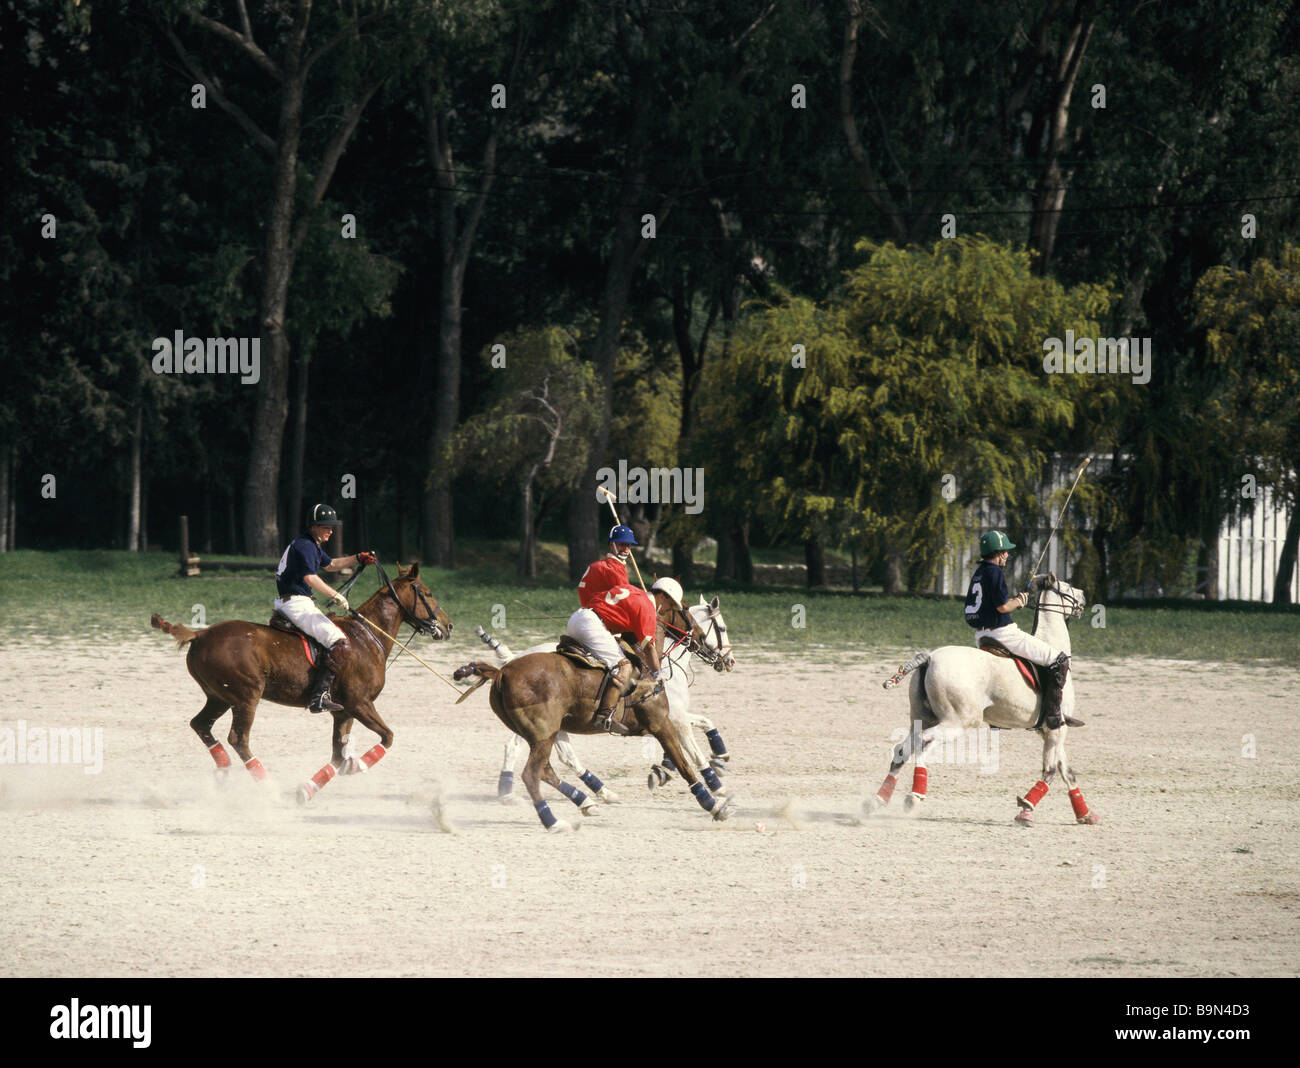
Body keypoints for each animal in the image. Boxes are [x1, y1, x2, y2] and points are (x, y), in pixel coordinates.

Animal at [148, 561, 447, 800]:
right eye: (427, 593)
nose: (448, 626)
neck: (367, 637)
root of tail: (200, 634)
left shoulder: (344, 712)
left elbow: (337, 756)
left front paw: (308, 789)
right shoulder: (360, 704)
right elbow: (388, 737)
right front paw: (357, 766)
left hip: (219, 696)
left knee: (201, 725)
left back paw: (223, 774)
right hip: (247, 696)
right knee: (238, 738)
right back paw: (266, 784)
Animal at [460, 597, 733, 831]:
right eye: (721, 626)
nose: (729, 660)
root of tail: (502, 671)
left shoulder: (669, 719)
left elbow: (698, 733)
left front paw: (710, 761)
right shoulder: (664, 722)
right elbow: (688, 760)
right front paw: (715, 798)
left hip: (547, 731)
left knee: (548, 766)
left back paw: (587, 800)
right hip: (543, 731)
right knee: (532, 770)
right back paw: (550, 818)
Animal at [868, 576, 1102, 826]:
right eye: (1066, 587)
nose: (1084, 596)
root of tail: (929, 658)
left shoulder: (1049, 730)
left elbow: (1067, 772)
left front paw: (1086, 814)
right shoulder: (1057, 728)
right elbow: (1050, 771)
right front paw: (1025, 810)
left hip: (922, 717)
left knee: (902, 749)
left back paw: (877, 800)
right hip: (958, 722)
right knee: (924, 744)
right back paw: (914, 796)